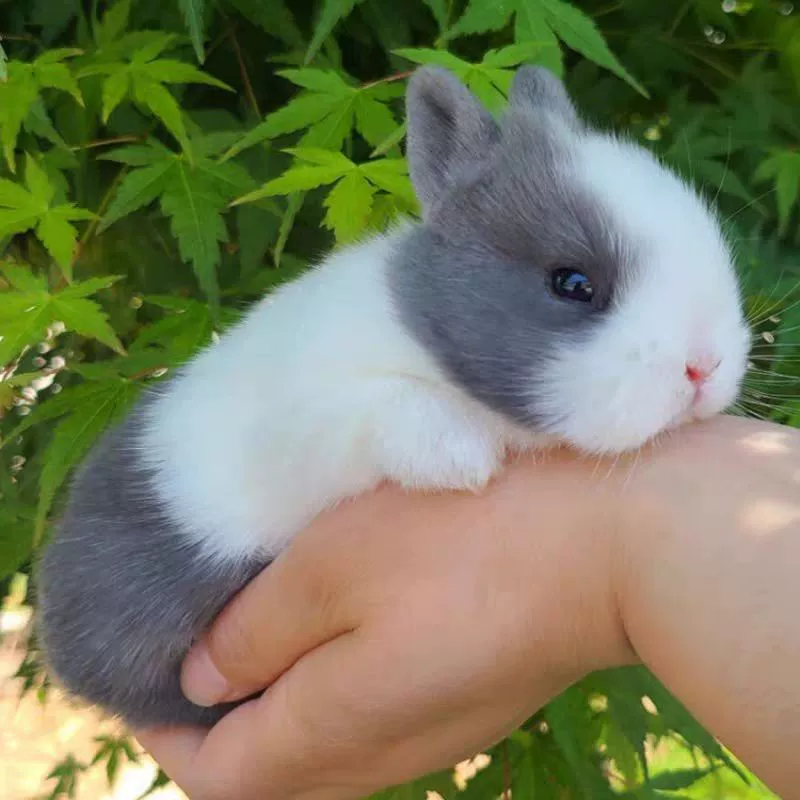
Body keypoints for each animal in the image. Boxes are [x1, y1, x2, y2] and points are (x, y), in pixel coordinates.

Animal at [36, 65, 751, 729]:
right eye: (572, 284)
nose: (704, 366)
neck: (422, 336)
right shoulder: (312, 417)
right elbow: (378, 408)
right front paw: (461, 459)